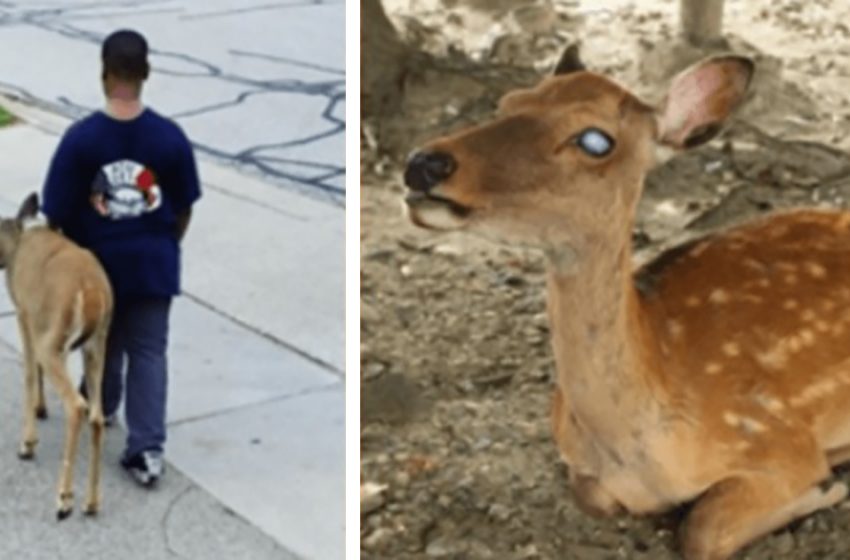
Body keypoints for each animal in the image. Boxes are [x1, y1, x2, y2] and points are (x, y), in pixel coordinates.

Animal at [0, 194, 112, 520]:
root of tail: (92, 292)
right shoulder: (37, 325)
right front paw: (41, 408)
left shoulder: (25, 315)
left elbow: (28, 373)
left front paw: (28, 442)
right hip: (97, 344)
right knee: (96, 415)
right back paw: (91, 502)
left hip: (54, 339)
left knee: (76, 405)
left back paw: (64, 499)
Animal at [400, 49, 848, 560]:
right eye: (508, 102)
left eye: (595, 140)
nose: (424, 163)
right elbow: (595, 498)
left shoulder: (777, 440)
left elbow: (702, 531)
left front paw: (828, 485)